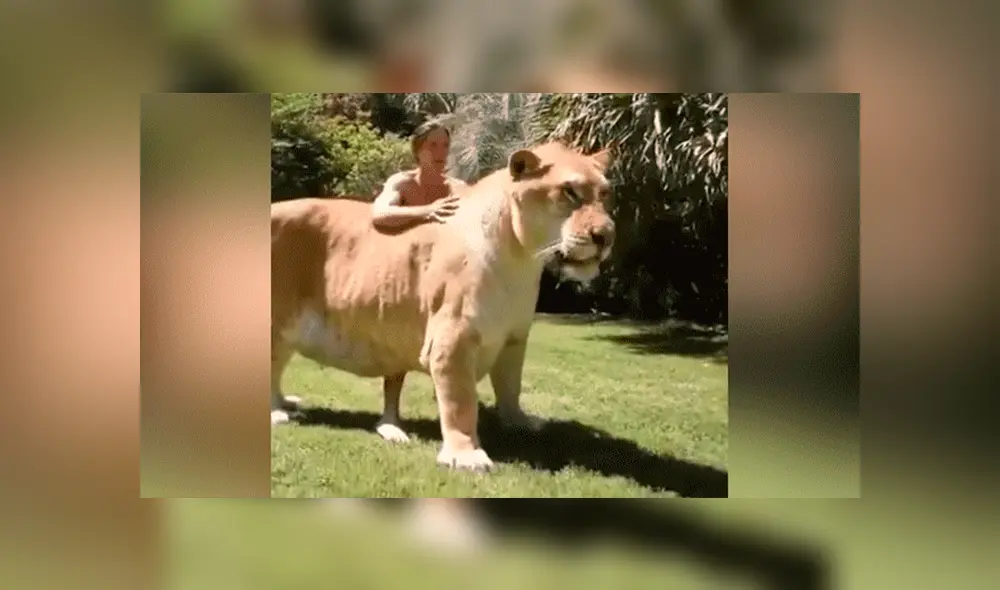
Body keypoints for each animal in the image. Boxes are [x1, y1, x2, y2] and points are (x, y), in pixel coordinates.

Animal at [270, 141, 616, 471]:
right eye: (569, 191)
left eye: (604, 193)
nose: (606, 236)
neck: (521, 259)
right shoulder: (453, 339)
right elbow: (460, 403)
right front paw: (466, 457)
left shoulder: (514, 338)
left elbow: (510, 386)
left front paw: (519, 421)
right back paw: (278, 413)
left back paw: (295, 405)